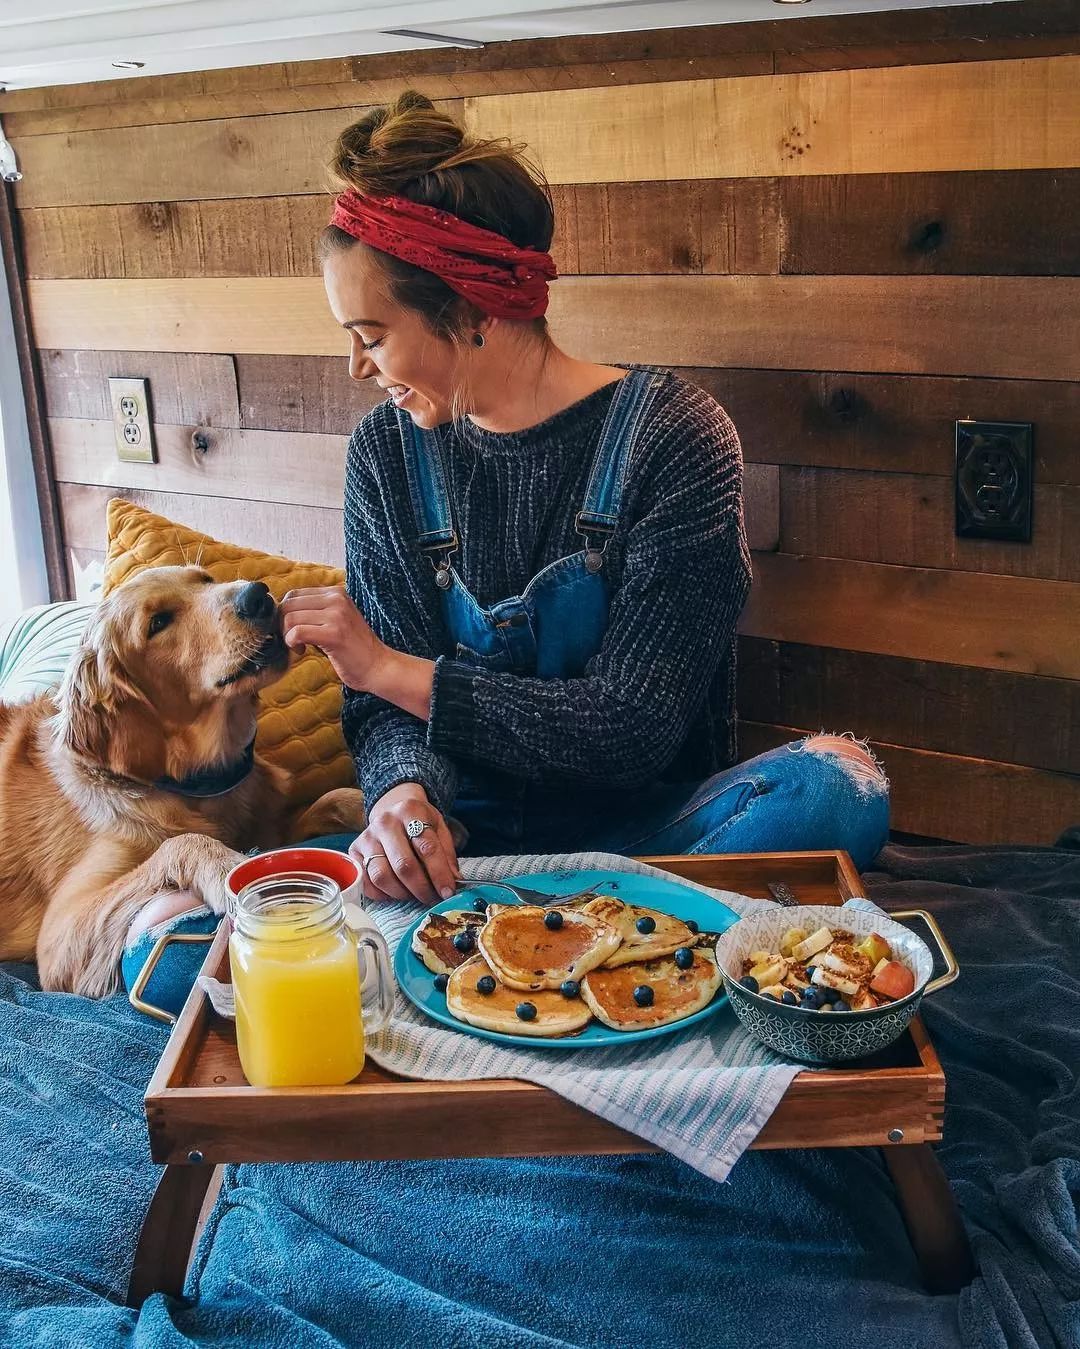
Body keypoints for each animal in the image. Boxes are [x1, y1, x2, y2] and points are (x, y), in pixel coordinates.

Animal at [0, 563, 364, 998]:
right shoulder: (60, 937)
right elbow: (180, 842)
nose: (257, 596)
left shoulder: (274, 829)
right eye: (158, 623)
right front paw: (227, 864)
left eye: (205, 580)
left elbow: (331, 799)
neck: (196, 785)